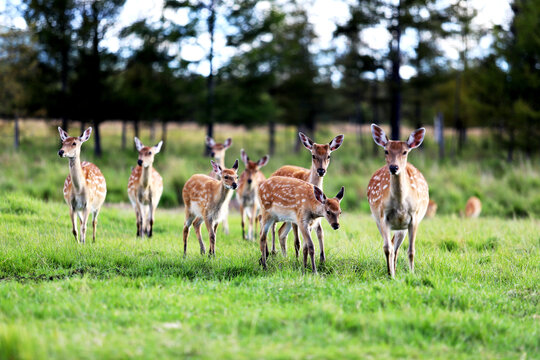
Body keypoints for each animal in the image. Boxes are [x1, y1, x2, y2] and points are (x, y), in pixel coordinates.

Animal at [270, 132, 346, 262]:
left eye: (329, 156)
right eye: (313, 155)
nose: (321, 170)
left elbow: (320, 232)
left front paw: (322, 259)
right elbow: (297, 241)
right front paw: (298, 260)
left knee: (281, 232)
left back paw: (284, 257)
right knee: (273, 226)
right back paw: (272, 252)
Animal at [368, 124, 430, 278]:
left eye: (405, 152)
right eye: (386, 151)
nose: (393, 167)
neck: (401, 204)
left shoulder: (414, 217)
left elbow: (411, 250)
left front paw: (412, 273)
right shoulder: (383, 216)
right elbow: (386, 248)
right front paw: (391, 275)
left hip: (402, 227)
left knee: (396, 247)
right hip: (379, 220)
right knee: (391, 246)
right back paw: (392, 270)